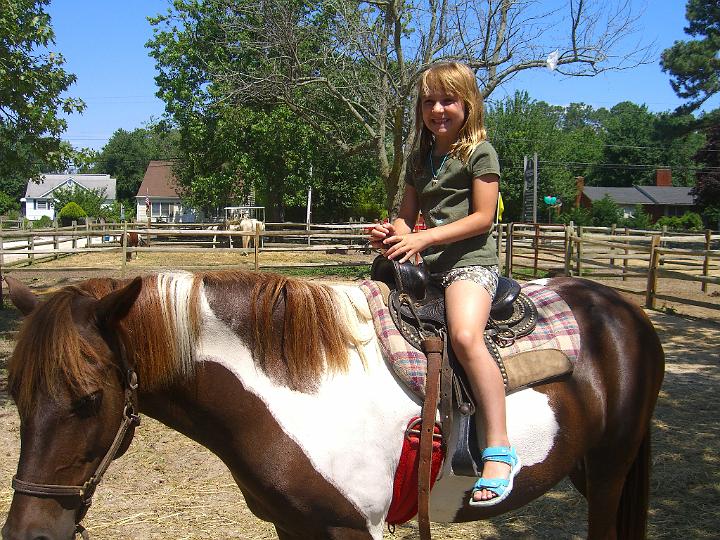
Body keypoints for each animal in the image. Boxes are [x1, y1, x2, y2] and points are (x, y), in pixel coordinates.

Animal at [1, 272, 664, 540]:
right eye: (15, 395)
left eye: (90, 399)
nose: (28, 533)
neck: (292, 390)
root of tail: (622, 310)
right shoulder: (294, 526)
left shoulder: (351, 527)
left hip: (611, 472)